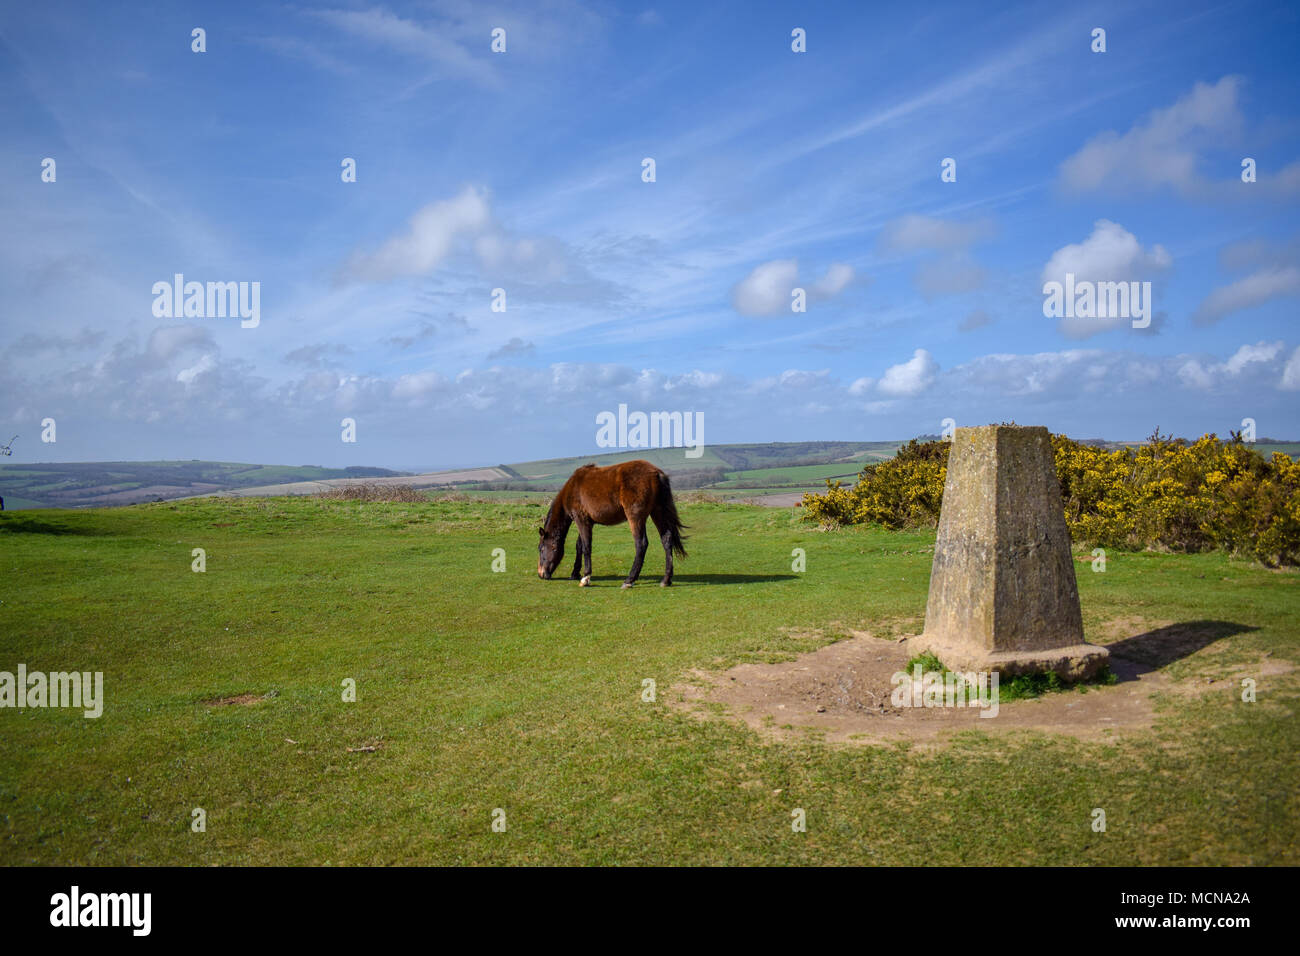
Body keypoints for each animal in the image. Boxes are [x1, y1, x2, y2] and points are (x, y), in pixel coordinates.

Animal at [538, 459, 687, 588]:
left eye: (541, 549)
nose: (541, 574)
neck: (572, 488)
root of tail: (656, 473)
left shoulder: (581, 520)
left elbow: (586, 547)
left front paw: (586, 578)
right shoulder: (588, 522)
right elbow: (579, 546)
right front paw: (575, 573)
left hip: (635, 517)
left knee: (641, 544)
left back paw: (629, 580)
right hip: (657, 512)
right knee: (666, 540)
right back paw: (666, 580)